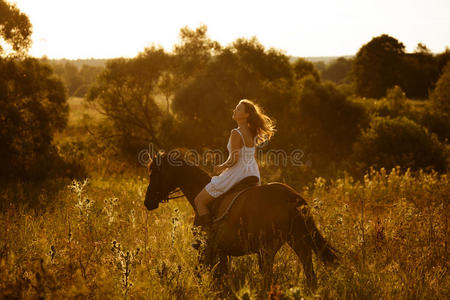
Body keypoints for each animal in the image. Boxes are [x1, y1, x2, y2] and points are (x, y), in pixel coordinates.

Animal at [144, 152, 338, 290]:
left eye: (154, 175)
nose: (147, 202)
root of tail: (289, 195)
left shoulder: (207, 252)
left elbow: (203, 275)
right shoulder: (222, 253)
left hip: (267, 249)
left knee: (269, 279)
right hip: (299, 241)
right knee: (310, 274)